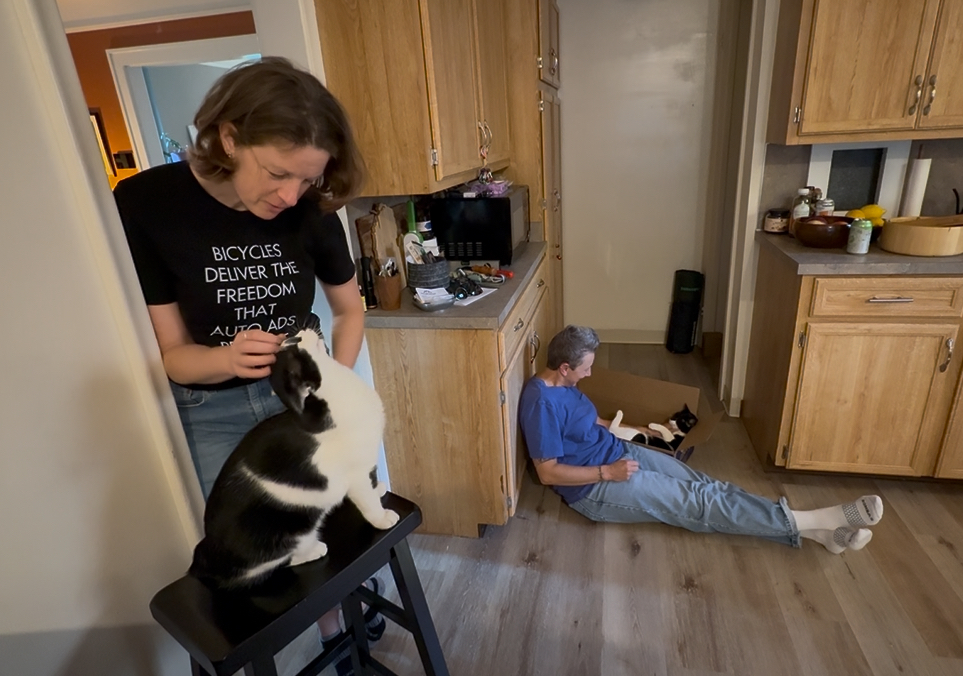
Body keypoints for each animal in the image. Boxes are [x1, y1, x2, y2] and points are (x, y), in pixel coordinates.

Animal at [188, 327, 399, 590]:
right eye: (297, 342)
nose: (299, 331)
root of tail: (203, 555)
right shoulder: (356, 473)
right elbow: (367, 501)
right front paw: (382, 517)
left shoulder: (366, 463)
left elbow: (371, 484)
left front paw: (379, 488)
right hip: (291, 527)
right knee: (276, 564)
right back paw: (314, 549)